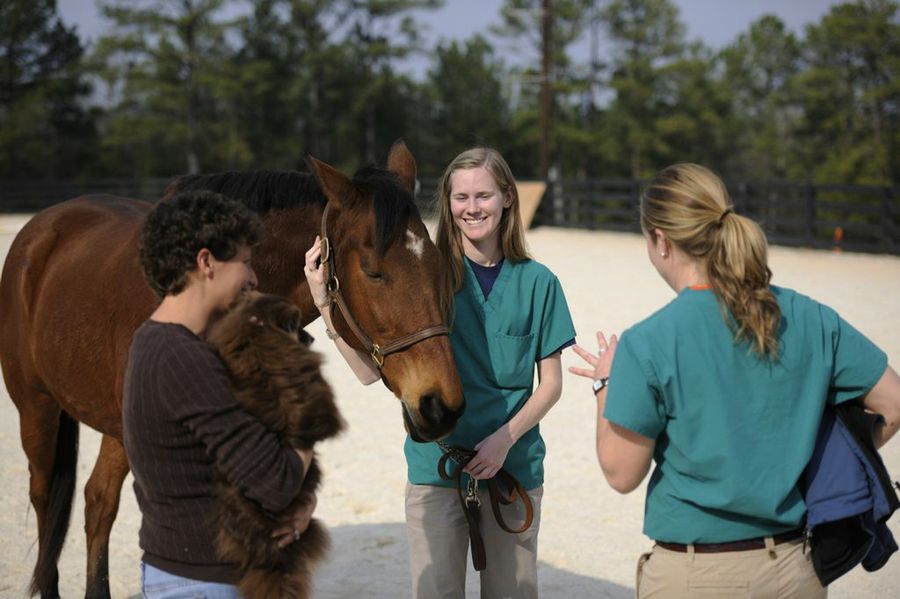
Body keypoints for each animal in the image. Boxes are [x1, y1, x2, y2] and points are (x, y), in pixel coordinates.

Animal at [0, 140, 464, 598]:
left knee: (98, 502)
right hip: (38, 410)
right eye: (373, 271)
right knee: (46, 501)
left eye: (439, 267)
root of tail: (43, 227)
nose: (441, 405)